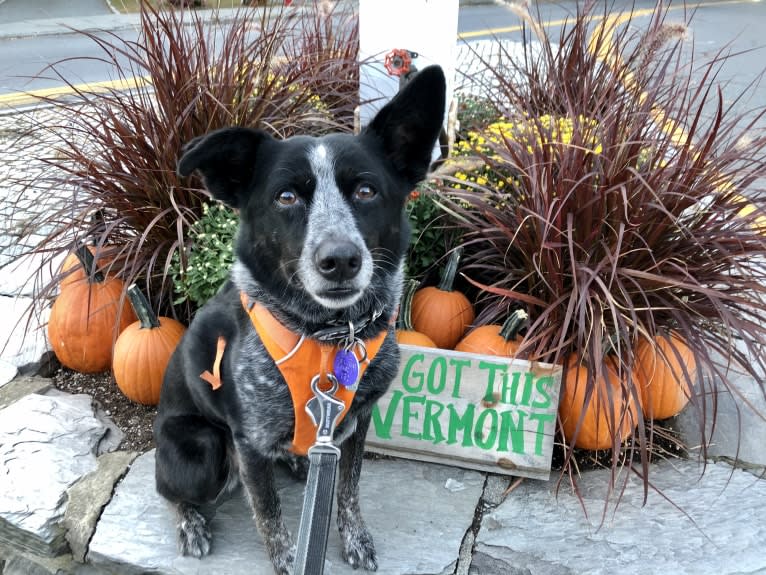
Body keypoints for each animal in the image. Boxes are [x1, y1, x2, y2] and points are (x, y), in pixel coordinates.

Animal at [153, 65, 448, 572]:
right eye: (286, 196)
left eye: (366, 191)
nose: (340, 260)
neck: (328, 334)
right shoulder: (248, 440)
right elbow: (269, 512)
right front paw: (290, 559)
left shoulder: (356, 420)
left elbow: (348, 487)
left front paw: (354, 537)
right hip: (202, 453)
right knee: (167, 489)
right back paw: (190, 522)